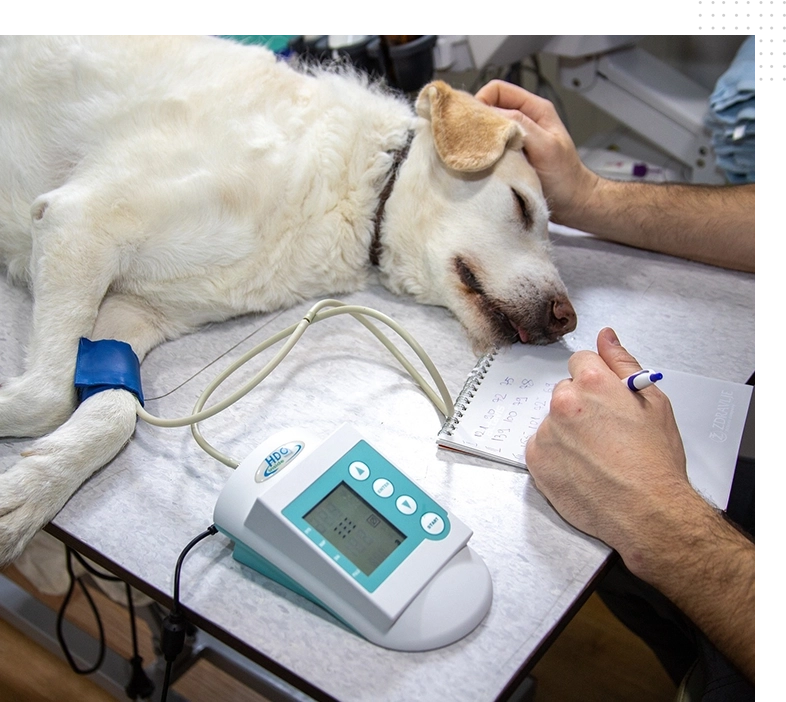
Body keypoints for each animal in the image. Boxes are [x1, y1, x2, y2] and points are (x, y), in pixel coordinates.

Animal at [0, 35, 576, 568]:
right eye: (522, 206)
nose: (568, 320)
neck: (358, 187)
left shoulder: (132, 312)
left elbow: (112, 409)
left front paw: (30, 490)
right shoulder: (80, 221)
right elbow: (49, 395)